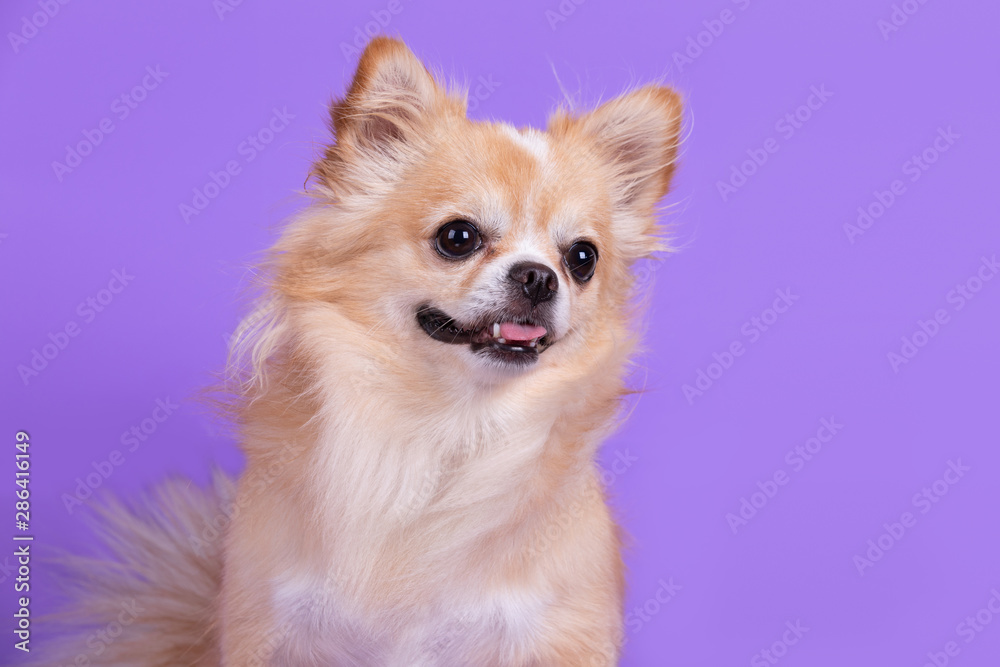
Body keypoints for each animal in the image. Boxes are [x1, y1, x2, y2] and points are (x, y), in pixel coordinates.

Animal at [45, 37, 680, 667]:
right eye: (458, 237)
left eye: (582, 259)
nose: (539, 276)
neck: (449, 423)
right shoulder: (268, 624)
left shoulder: (559, 634)